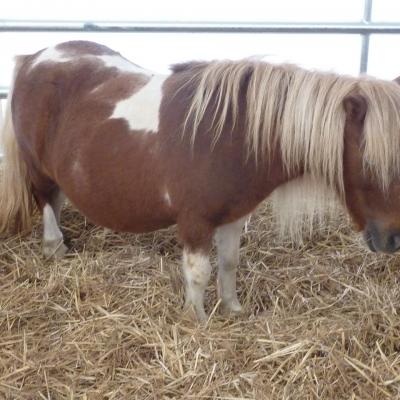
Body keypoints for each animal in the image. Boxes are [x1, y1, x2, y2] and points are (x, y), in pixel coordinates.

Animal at [0, 41, 400, 322]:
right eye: (369, 160)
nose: (392, 239)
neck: (232, 135)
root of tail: (34, 58)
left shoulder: (234, 216)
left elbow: (229, 263)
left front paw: (233, 309)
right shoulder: (195, 221)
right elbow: (199, 272)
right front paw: (197, 319)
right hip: (38, 170)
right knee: (46, 202)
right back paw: (55, 248)